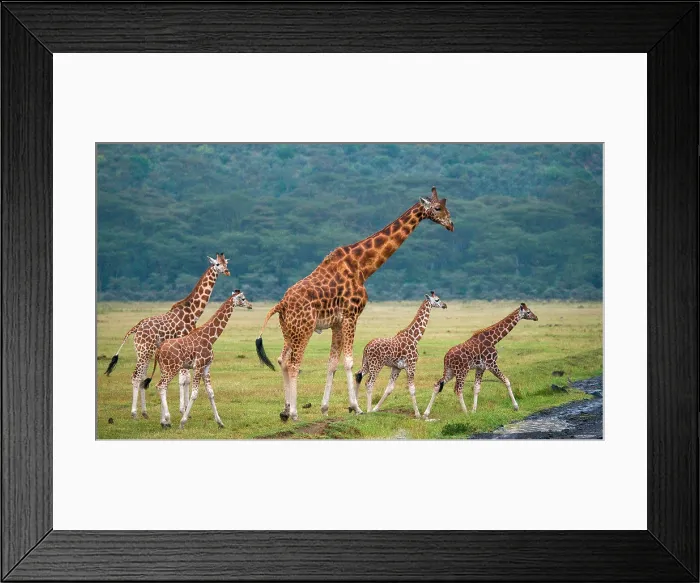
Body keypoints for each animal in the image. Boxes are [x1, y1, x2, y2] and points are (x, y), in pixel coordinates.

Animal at [104, 253, 230, 419]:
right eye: (217, 264)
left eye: (226, 262)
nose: (227, 271)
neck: (192, 313)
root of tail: (136, 328)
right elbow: (184, 379)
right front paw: (183, 410)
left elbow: (184, 379)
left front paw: (184, 411)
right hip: (145, 351)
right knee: (136, 376)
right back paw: (134, 413)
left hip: (144, 352)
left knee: (142, 376)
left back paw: (145, 412)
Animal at [141, 290, 253, 429]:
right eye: (243, 298)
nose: (250, 305)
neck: (210, 338)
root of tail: (158, 350)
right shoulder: (198, 366)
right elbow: (194, 394)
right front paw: (183, 422)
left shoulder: (206, 367)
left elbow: (210, 392)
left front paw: (220, 422)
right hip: (172, 368)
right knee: (161, 386)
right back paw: (167, 418)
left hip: (164, 368)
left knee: (162, 387)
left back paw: (163, 422)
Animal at [255, 186, 454, 422]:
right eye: (438, 208)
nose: (451, 224)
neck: (362, 267)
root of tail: (281, 304)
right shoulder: (352, 315)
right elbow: (349, 361)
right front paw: (356, 407)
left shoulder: (337, 322)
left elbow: (332, 363)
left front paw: (325, 408)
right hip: (304, 329)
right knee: (294, 364)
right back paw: (294, 413)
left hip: (289, 330)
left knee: (282, 360)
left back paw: (285, 411)